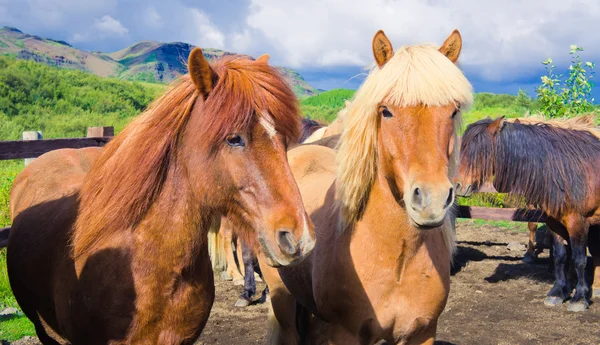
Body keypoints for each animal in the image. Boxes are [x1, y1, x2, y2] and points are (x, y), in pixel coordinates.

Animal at [260, 29, 472, 344]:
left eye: (453, 110)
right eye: (386, 111)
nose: (431, 201)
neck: (398, 260)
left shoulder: (422, 333)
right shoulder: (346, 333)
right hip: (282, 299)